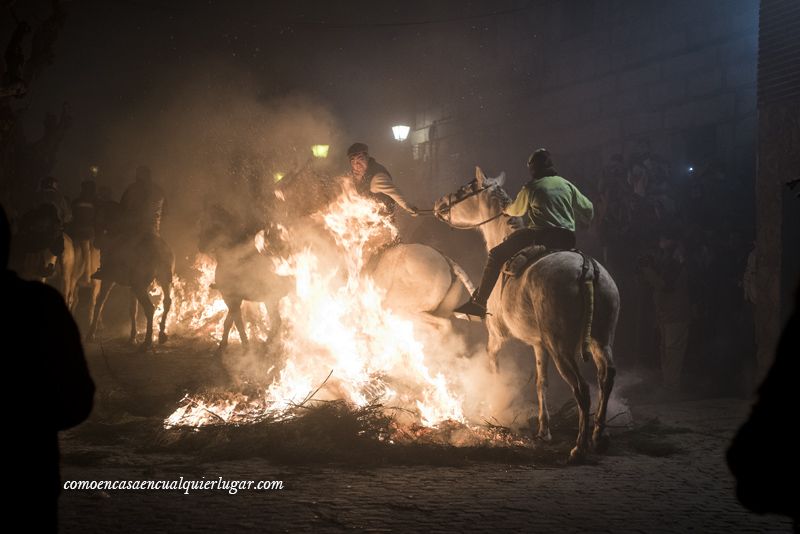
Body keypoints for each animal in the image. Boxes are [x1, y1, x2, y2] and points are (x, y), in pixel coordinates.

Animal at [438, 169, 620, 464]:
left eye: (466, 188)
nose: (439, 204)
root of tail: (586, 270)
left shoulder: (497, 337)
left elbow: (494, 368)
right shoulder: (539, 345)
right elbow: (540, 383)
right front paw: (543, 430)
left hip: (562, 349)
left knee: (582, 390)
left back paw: (579, 448)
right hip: (600, 342)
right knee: (606, 380)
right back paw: (598, 437)